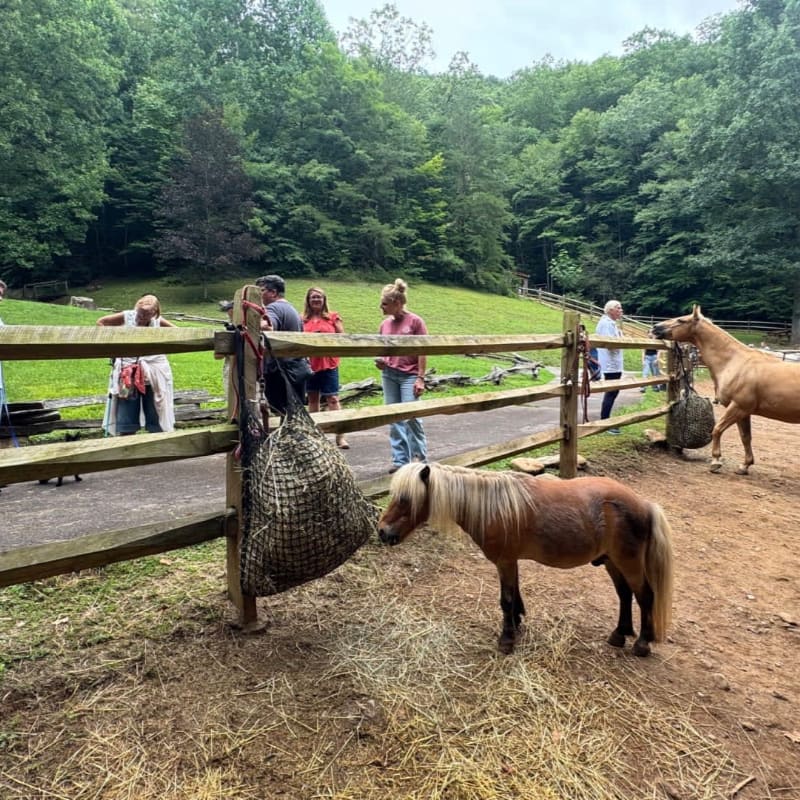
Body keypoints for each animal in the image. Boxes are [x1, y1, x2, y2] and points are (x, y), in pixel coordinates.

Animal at [378, 462, 674, 658]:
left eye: (405, 499)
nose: (382, 532)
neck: (493, 507)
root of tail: (644, 505)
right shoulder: (511, 562)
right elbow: (515, 595)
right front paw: (517, 624)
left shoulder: (505, 561)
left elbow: (506, 600)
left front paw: (507, 639)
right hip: (613, 561)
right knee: (625, 594)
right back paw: (619, 634)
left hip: (628, 562)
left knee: (645, 596)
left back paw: (642, 644)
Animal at [652, 305, 800, 474]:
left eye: (681, 320)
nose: (655, 328)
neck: (734, 362)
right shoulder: (744, 412)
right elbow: (745, 437)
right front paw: (744, 466)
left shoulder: (738, 407)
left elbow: (717, 429)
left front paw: (716, 461)